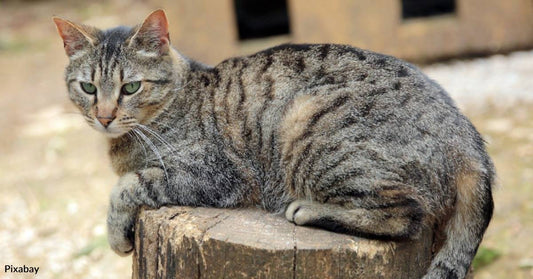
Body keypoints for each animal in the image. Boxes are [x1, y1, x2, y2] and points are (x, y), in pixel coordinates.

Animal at [54, 9, 494, 278]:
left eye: (130, 87)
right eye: (88, 87)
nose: (104, 116)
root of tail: (466, 134)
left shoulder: (218, 173)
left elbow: (127, 186)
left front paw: (116, 233)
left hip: (310, 128)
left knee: (407, 214)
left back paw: (308, 210)